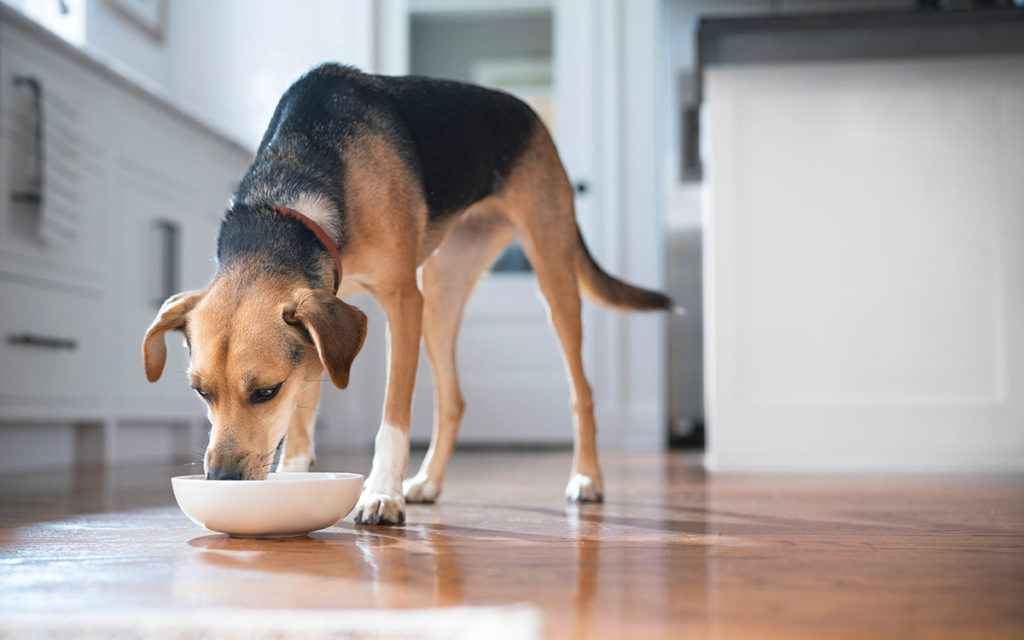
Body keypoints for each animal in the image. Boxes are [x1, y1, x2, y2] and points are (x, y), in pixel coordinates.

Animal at [144, 63, 671, 524]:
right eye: (200, 392)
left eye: (265, 392)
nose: (220, 479)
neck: (294, 198)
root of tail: (528, 111)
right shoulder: (320, 331)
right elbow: (301, 422)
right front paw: (297, 480)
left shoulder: (400, 301)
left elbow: (393, 418)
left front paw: (381, 494)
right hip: (440, 297)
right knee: (453, 400)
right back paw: (429, 481)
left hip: (550, 276)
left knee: (582, 393)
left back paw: (586, 478)